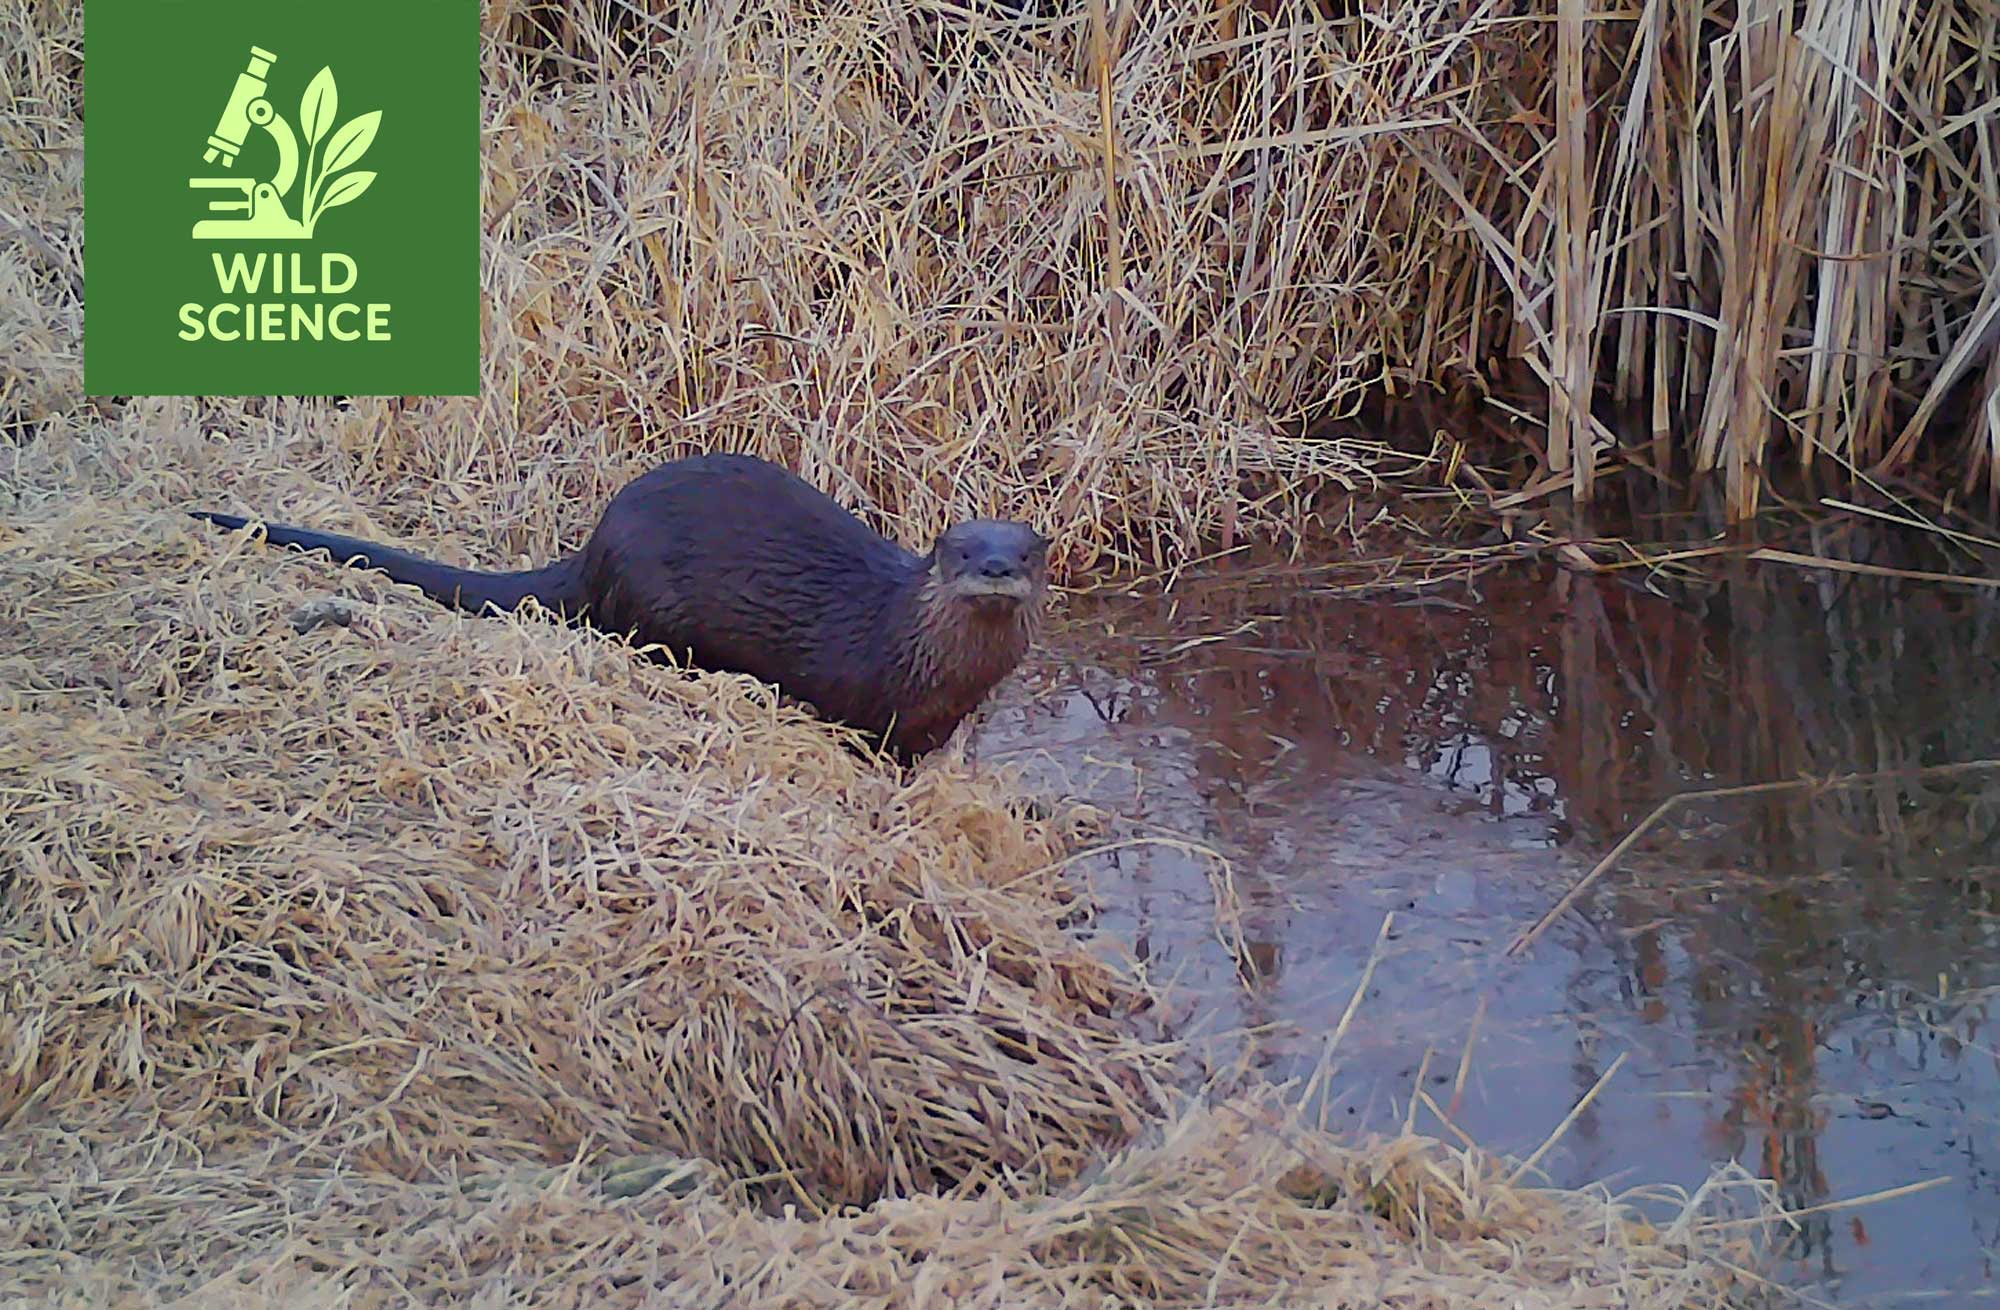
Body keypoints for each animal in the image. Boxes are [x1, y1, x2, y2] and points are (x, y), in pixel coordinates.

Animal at [191, 452, 1049, 761]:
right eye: (961, 551)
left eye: (1026, 553)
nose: (996, 566)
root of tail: (595, 544)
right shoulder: (869, 694)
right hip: (653, 598)